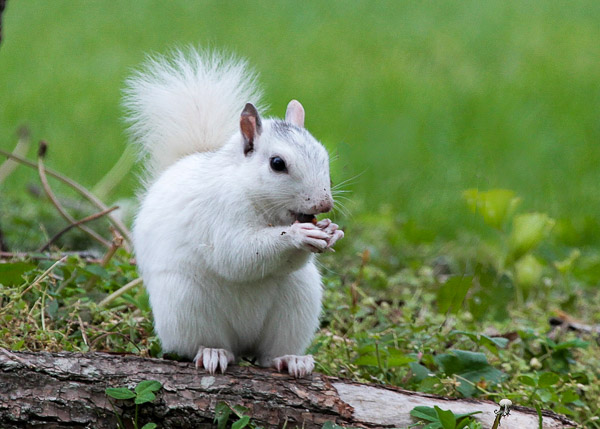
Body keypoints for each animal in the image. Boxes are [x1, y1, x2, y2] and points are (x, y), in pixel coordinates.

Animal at [124, 48, 344, 376]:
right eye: (277, 164)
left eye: (324, 158)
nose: (323, 204)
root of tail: (243, 342)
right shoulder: (218, 214)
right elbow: (235, 254)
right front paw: (297, 235)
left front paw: (332, 231)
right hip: (185, 304)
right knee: (200, 344)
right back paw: (213, 352)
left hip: (297, 302)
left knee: (270, 352)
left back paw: (289, 359)